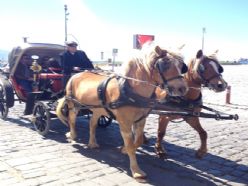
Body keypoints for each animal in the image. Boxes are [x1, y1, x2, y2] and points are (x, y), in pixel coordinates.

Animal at [55, 44, 188, 179]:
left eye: (181, 65)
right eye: (164, 64)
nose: (183, 89)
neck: (130, 90)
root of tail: (76, 74)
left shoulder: (141, 119)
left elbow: (137, 141)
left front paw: (123, 149)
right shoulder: (124, 122)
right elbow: (130, 145)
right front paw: (136, 171)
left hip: (98, 109)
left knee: (92, 123)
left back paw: (92, 143)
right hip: (73, 104)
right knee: (72, 119)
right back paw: (72, 135)